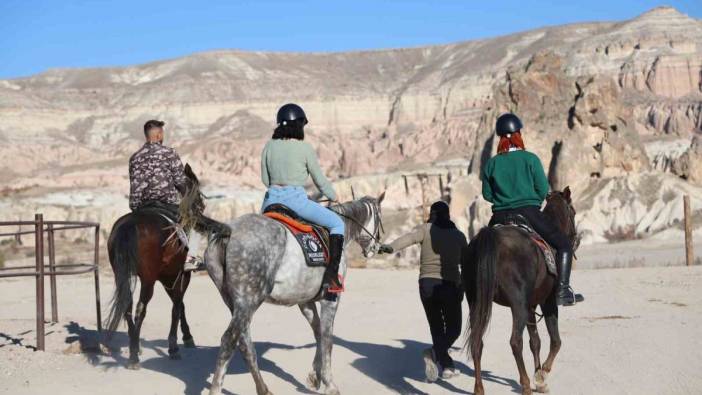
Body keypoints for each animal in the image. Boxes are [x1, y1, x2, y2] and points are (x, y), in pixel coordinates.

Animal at [103, 166, 220, 370]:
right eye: (197, 193)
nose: (201, 207)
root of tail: (129, 226)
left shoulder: (166, 278)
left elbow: (179, 305)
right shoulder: (179, 276)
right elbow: (177, 307)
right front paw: (177, 344)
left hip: (123, 275)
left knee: (127, 305)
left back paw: (135, 346)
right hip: (148, 279)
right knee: (141, 308)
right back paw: (133, 356)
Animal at [206, 195, 388, 395]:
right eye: (380, 218)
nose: (376, 247)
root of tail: (229, 231)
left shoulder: (305, 301)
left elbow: (318, 333)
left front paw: (315, 376)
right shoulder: (331, 299)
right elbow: (327, 339)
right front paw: (329, 384)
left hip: (235, 304)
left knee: (245, 343)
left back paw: (263, 389)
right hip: (248, 302)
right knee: (229, 341)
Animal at [462, 188, 576, 395]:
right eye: (573, 212)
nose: (574, 240)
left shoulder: (531, 306)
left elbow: (535, 342)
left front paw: (540, 379)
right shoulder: (547, 302)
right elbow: (555, 341)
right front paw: (542, 375)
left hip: (476, 302)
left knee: (477, 342)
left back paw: (479, 388)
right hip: (518, 306)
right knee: (515, 342)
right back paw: (525, 384)